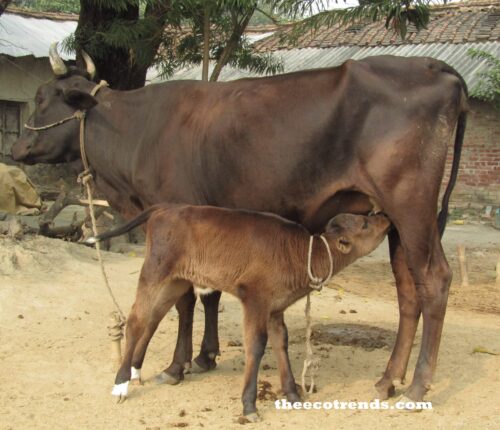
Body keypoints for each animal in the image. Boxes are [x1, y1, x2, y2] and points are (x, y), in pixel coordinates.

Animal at [88, 205, 392, 420]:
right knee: (135, 320)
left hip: (175, 281)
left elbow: (280, 342)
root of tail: (166, 207)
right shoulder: (254, 299)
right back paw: (121, 383)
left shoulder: (275, 308)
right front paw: (249, 405)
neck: (299, 254)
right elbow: (255, 346)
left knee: (152, 317)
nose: (384, 216)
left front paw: (293, 393)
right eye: (365, 223)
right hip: (154, 271)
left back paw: (136, 370)